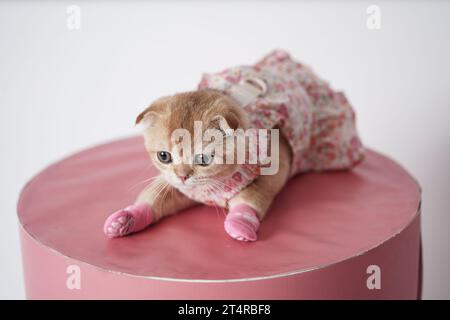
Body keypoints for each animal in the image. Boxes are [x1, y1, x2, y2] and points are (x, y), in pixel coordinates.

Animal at [103, 50, 364, 241]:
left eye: (204, 159)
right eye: (164, 156)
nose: (183, 175)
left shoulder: (273, 172)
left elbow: (251, 199)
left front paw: (240, 223)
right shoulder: (177, 187)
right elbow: (154, 197)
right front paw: (128, 218)